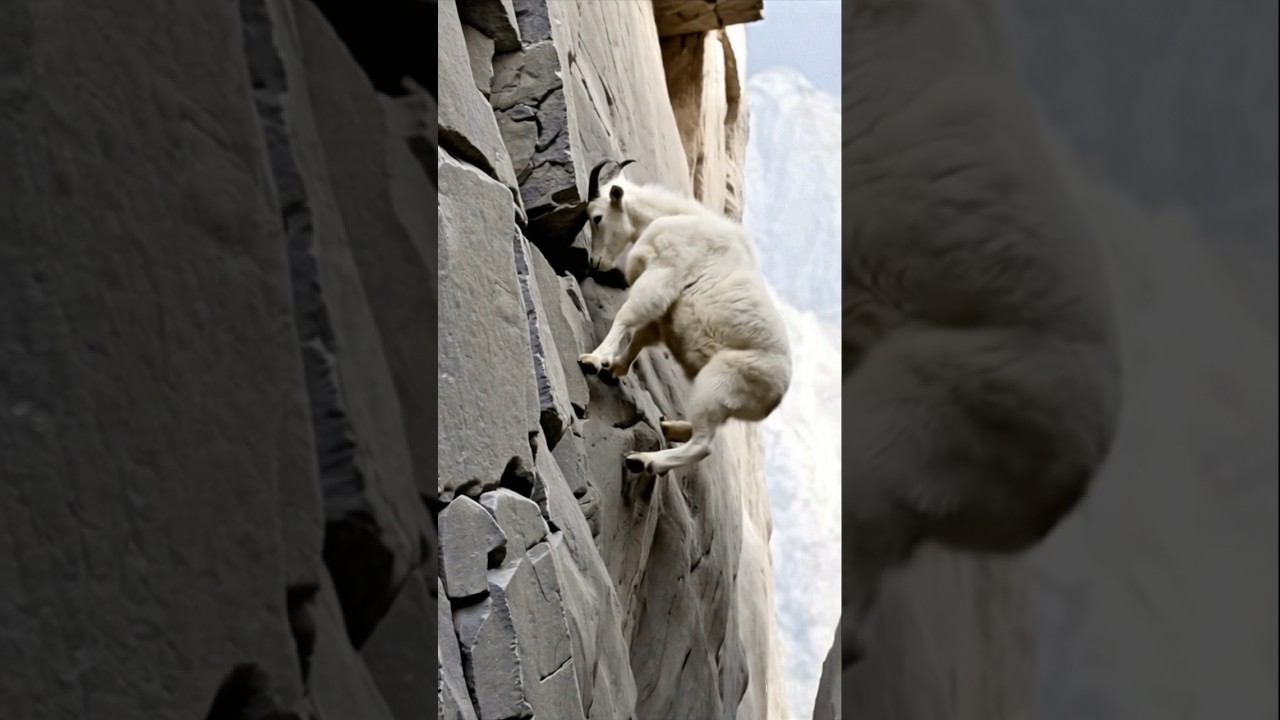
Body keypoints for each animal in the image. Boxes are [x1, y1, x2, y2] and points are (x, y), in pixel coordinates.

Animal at [576, 159, 792, 476]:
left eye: (597, 218)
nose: (595, 263)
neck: (675, 217)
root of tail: (777, 394)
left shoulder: (663, 275)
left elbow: (626, 317)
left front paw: (593, 360)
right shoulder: (663, 315)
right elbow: (640, 336)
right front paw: (613, 368)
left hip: (716, 384)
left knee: (703, 445)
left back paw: (644, 460)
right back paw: (670, 427)